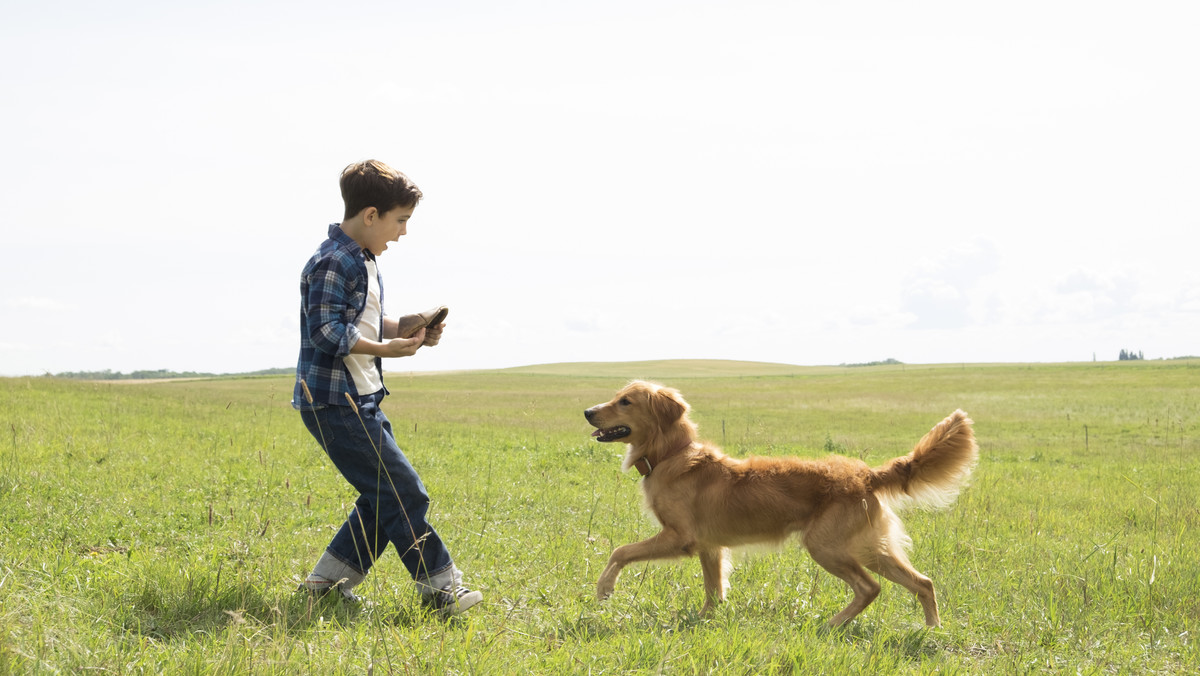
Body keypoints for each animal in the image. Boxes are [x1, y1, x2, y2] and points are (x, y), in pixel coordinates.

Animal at [585, 384, 979, 629]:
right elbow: (714, 590)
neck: (671, 454)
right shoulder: (711, 547)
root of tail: (866, 474)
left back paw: (832, 625)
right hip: (870, 547)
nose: (588, 411)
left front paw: (604, 590)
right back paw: (932, 630)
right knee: (923, 582)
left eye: (625, 401)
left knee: (870, 588)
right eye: (616, 397)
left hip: (826, 546)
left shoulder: (680, 538)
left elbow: (620, 551)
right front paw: (705, 620)